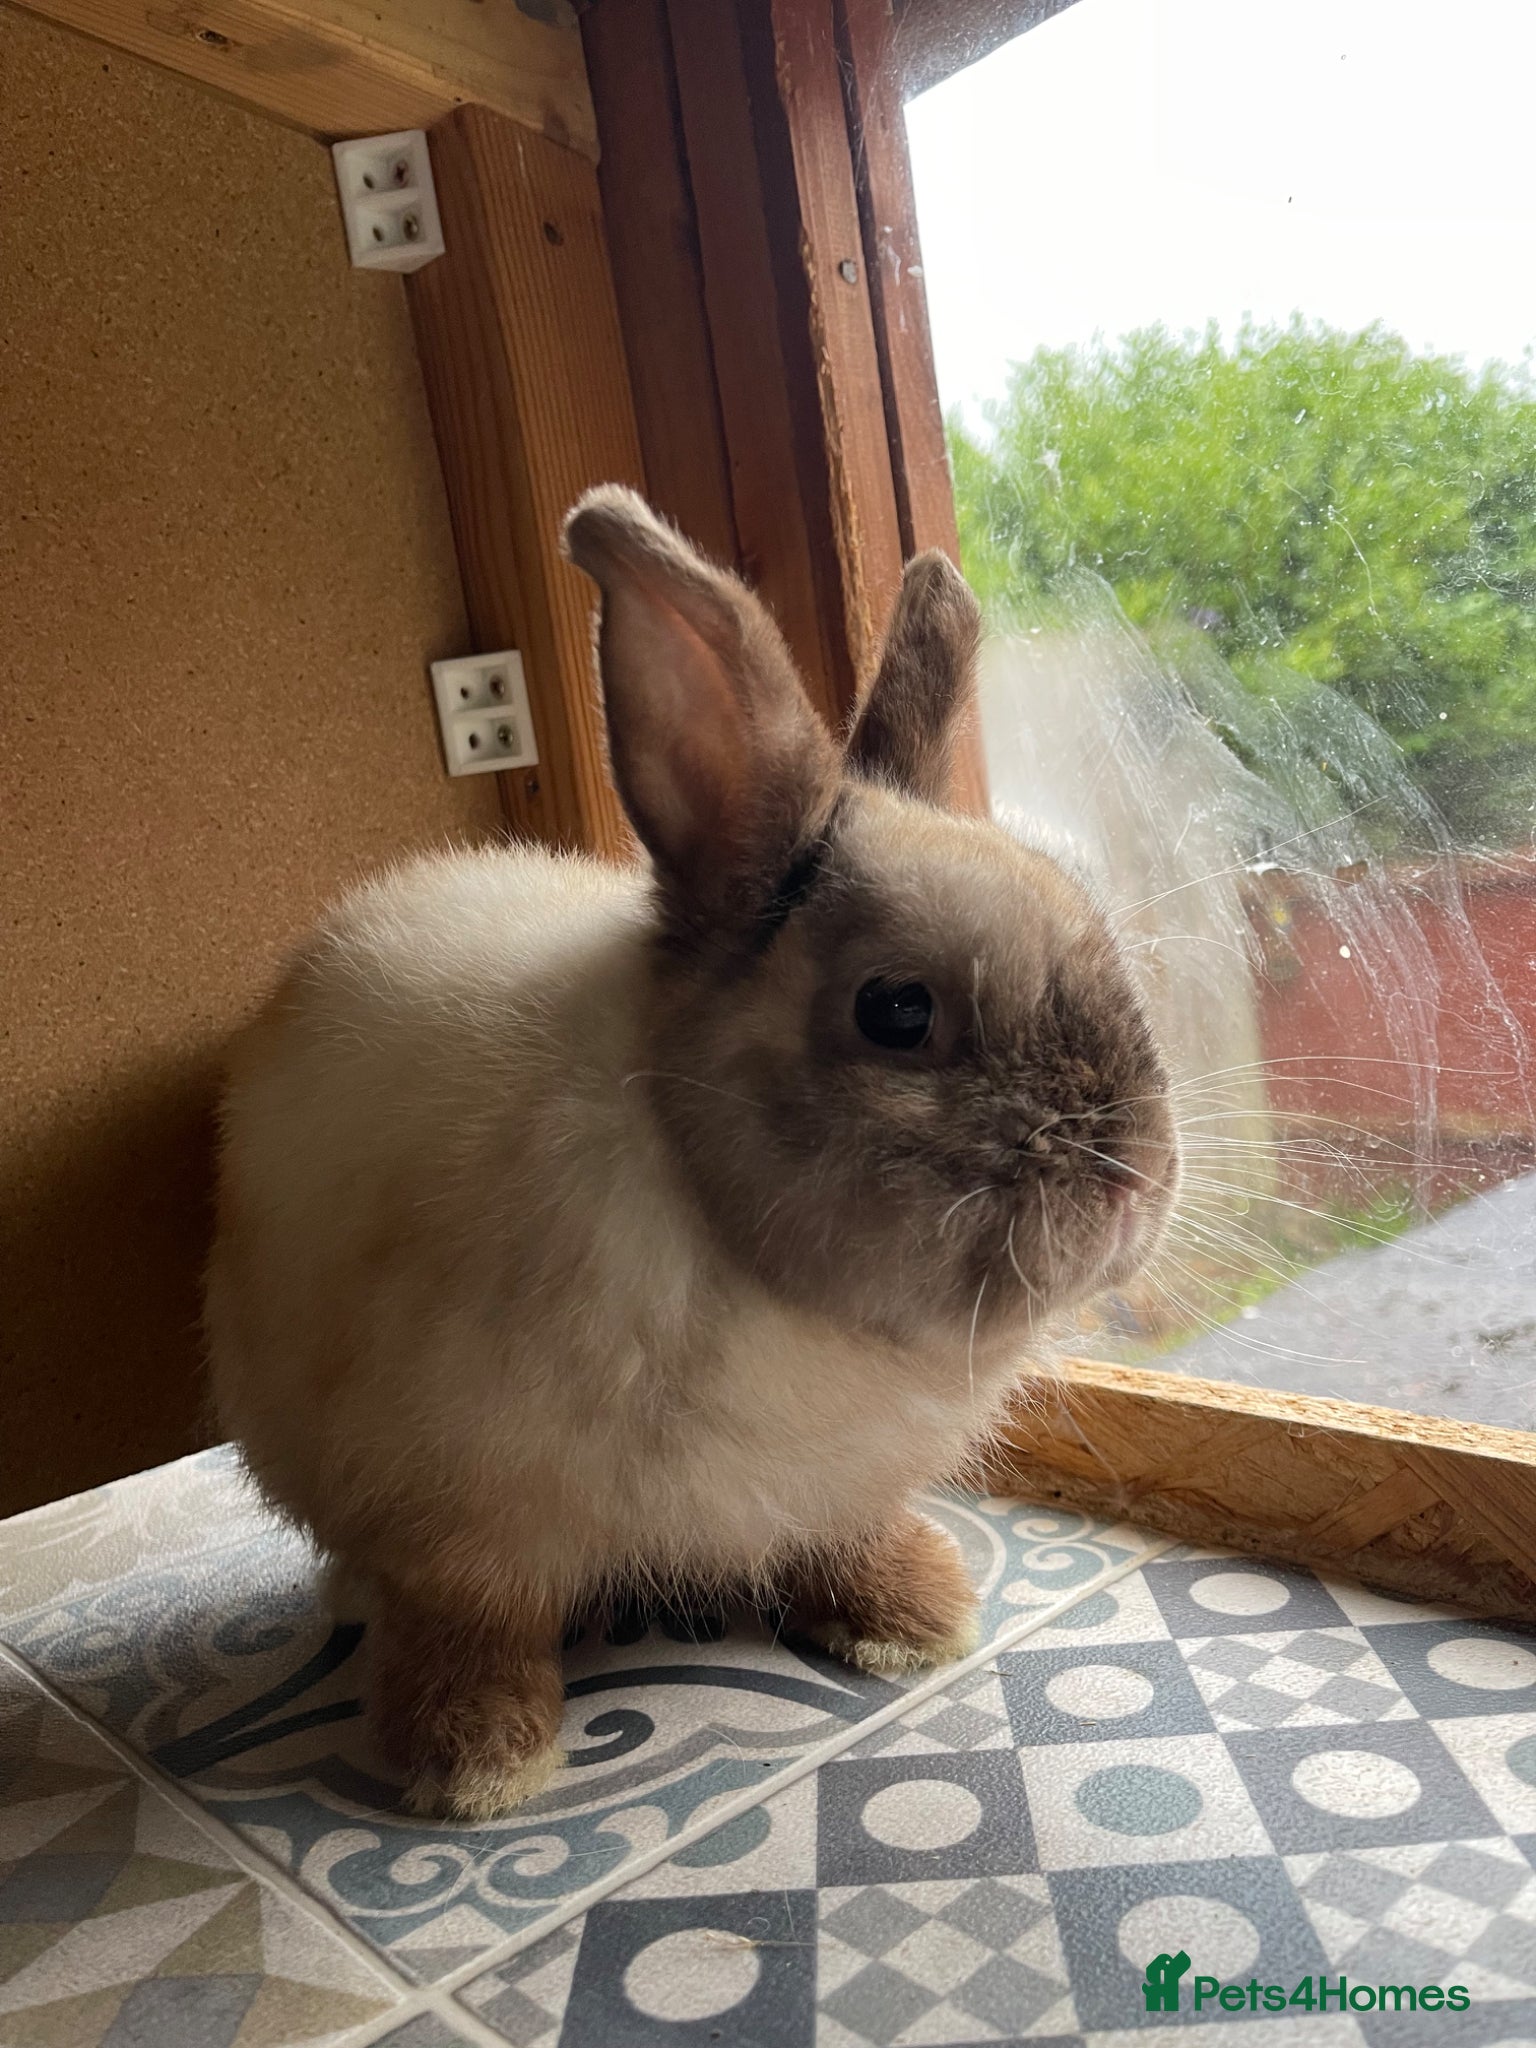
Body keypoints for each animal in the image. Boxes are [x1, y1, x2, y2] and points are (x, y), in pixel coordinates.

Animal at [206, 487, 1179, 1821]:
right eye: (897, 1011)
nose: (1135, 1183)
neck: (723, 1232)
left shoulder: (839, 1479)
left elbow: (847, 1536)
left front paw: (913, 1616)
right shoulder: (455, 1503)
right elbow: (473, 1620)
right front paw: (477, 1762)